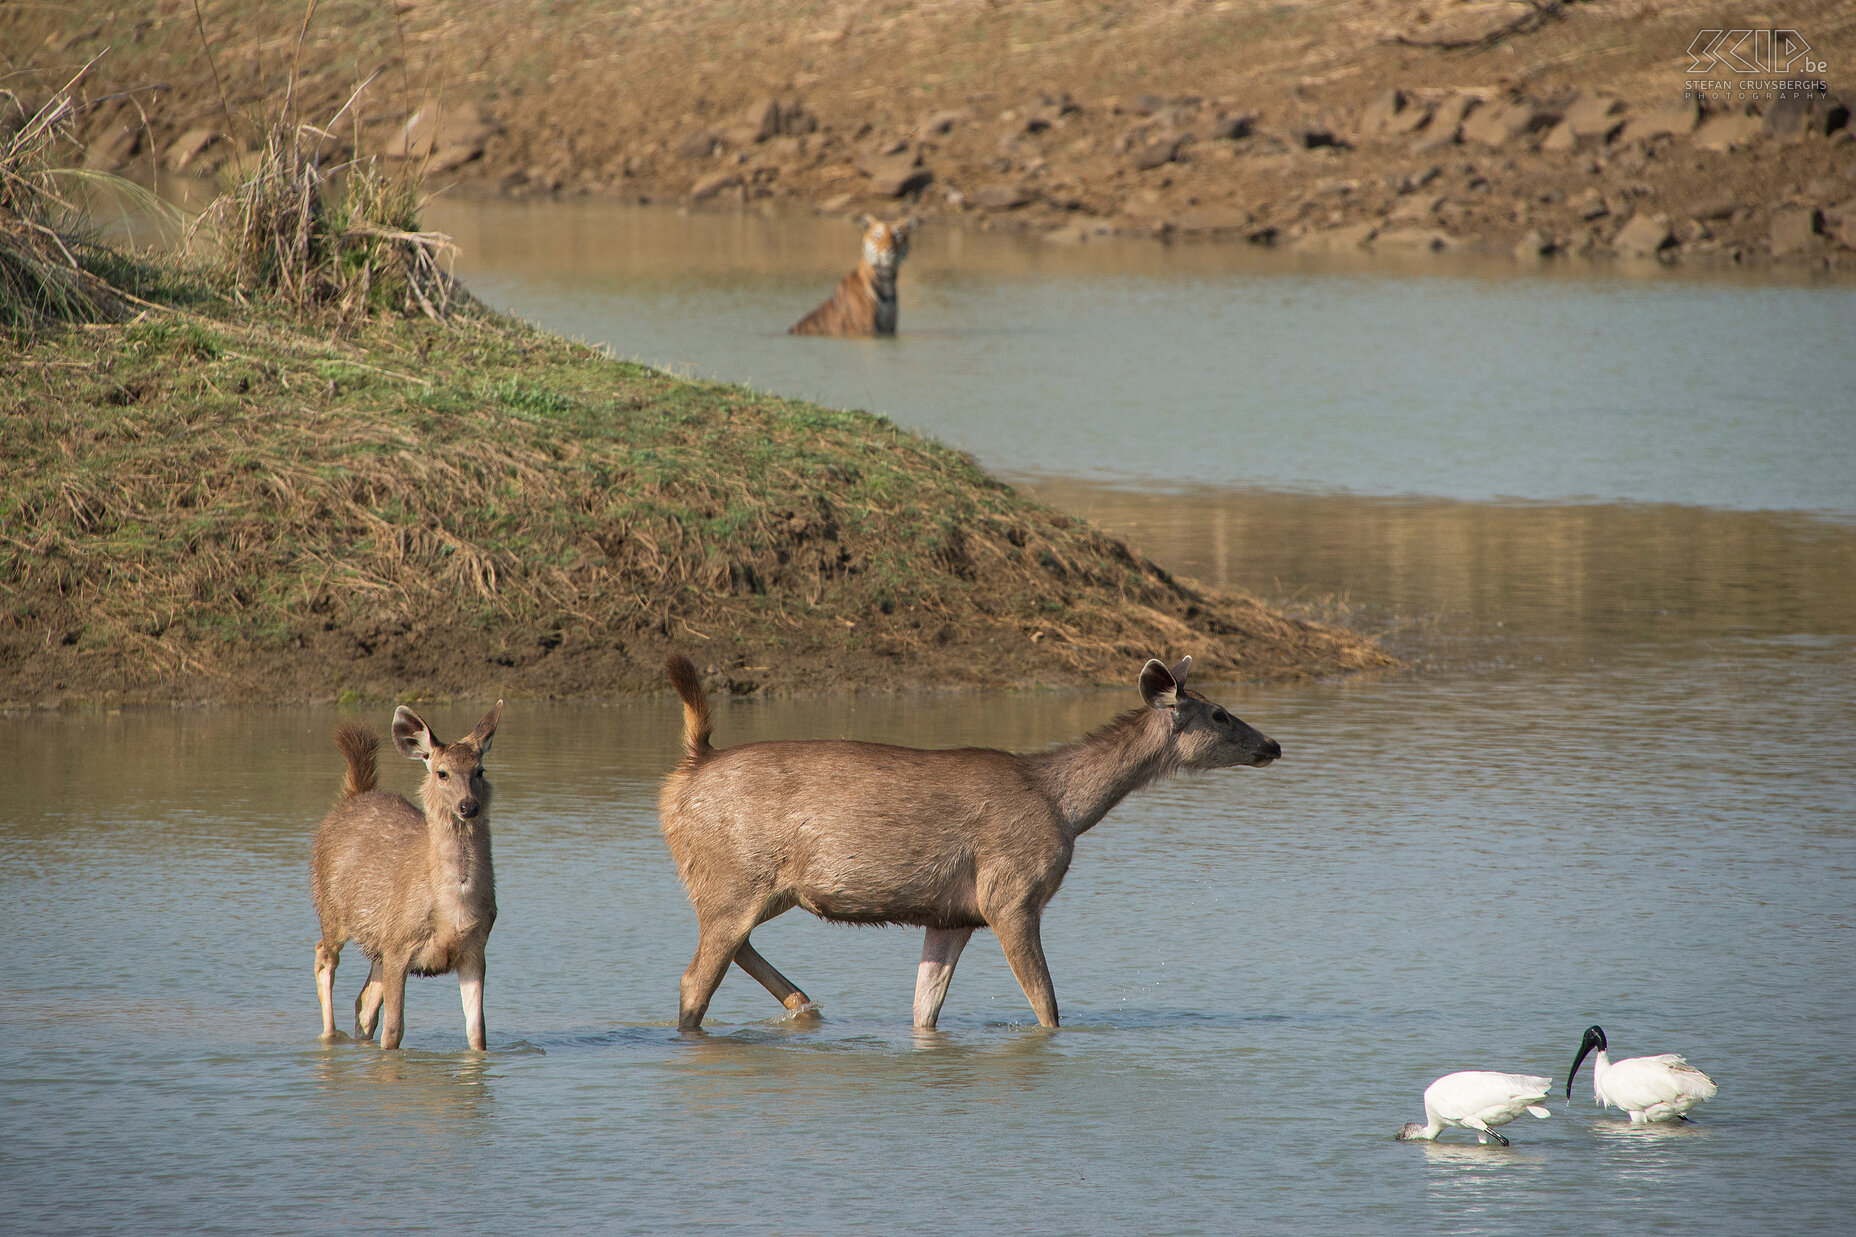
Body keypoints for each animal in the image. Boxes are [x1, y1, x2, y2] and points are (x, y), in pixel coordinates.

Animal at [311, 698, 504, 1047]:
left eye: (480, 771)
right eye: (442, 773)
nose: (468, 806)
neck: (452, 910)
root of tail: (353, 796)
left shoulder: (474, 951)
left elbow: (477, 1030)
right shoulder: (399, 947)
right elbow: (394, 1029)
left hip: (377, 940)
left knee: (364, 1002)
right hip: (329, 906)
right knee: (324, 957)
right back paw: (330, 1035)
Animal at [653, 653, 1276, 1032]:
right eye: (1219, 714)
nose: (1271, 744)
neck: (1065, 806)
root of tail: (685, 773)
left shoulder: (951, 916)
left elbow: (924, 1010)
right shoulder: (1011, 893)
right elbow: (1046, 1005)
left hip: (750, 885)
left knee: (734, 949)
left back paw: (804, 1005)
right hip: (734, 875)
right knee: (696, 977)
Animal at [790, 214, 920, 334]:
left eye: (898, 236)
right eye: (878, 236)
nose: (888, 249)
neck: (886, 278)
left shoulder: (889, 328)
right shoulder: (865, 328)